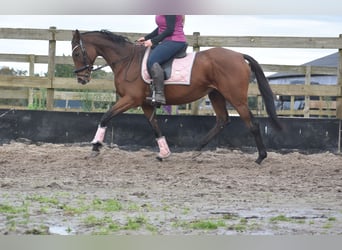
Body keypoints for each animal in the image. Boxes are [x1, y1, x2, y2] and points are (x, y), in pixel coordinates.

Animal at [71, 29, 282, 164]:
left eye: (77, 53)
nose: (81, 79)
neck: (127, 60)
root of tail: (239, 55)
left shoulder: (130, 99)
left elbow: (105, 117)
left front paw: (95, 147)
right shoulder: (145, 104)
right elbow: (155, 127)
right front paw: (164, 153)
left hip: (236, 97)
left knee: (252, 123)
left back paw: (260, 157)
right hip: (216, 95)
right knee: (222, 120)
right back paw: (196, 151)